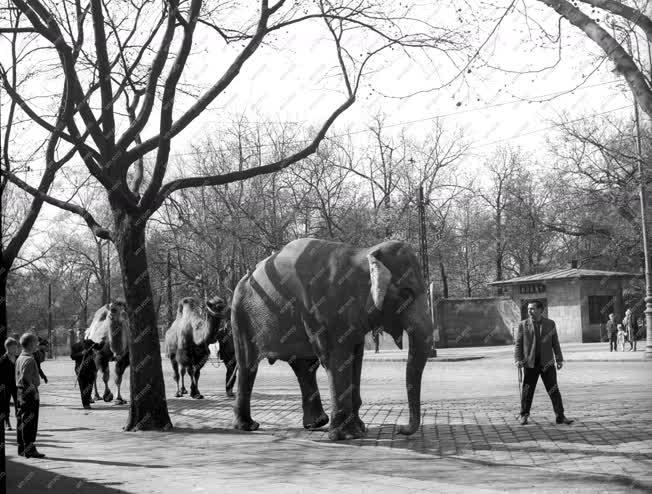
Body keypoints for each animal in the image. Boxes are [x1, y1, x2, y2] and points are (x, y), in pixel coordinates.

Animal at [229, 238, 432, 440]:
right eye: (406, 294)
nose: (400, 429)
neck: (362, 253)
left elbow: (356, 358)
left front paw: (360, 430)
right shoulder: (322, 310)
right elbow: (336, 359)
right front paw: (346, 436)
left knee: (304, 368)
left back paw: (316, 423)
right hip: (240, 317)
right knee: (248, 365)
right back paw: (249, 426)